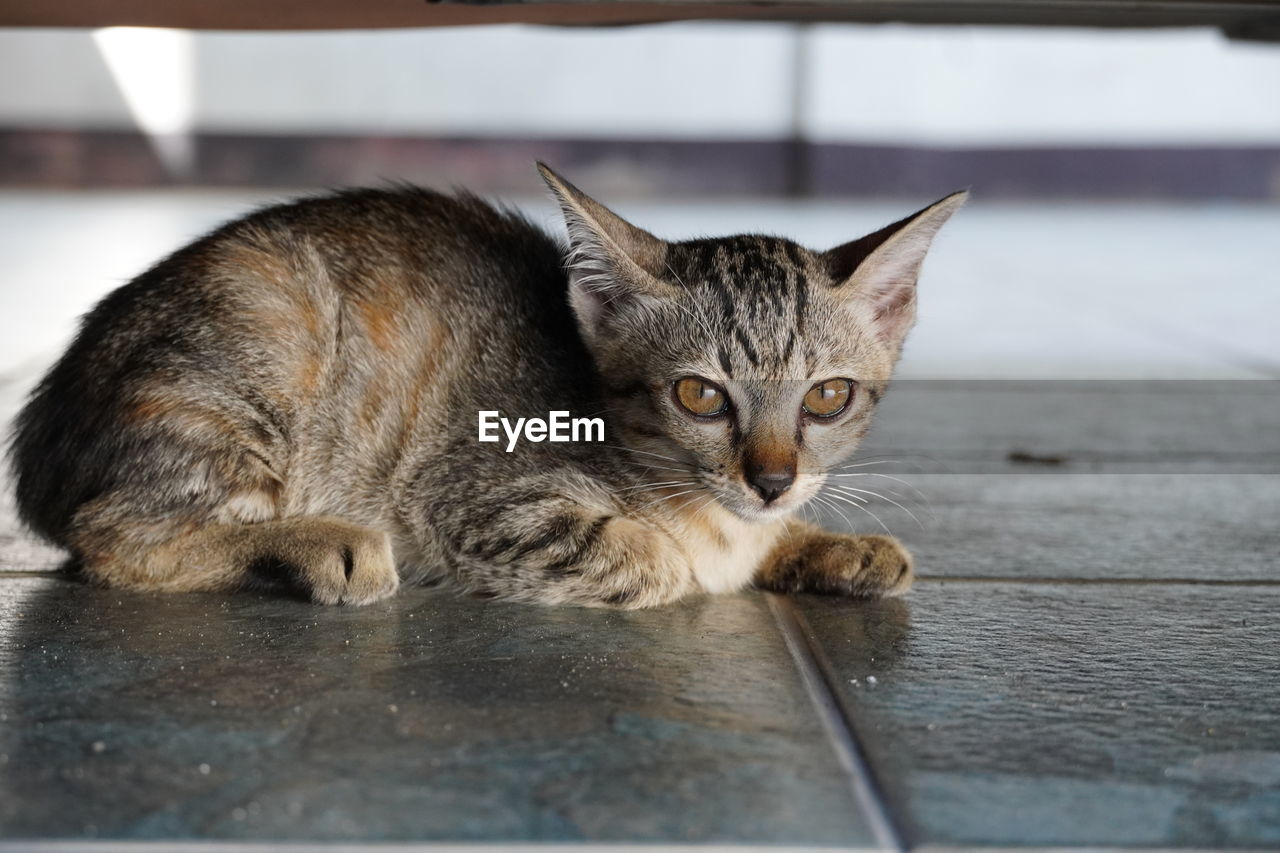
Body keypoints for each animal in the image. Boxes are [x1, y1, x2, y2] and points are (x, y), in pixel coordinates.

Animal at [5, 166, 962, 604]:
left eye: (828, 397)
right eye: (700, 395)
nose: (771, 479)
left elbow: (760, 543)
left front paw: (830, 543)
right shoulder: (470, 496)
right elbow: (654, 560)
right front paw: (685, 557)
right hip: (262, 339)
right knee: (111, 539)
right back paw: (321, 542)